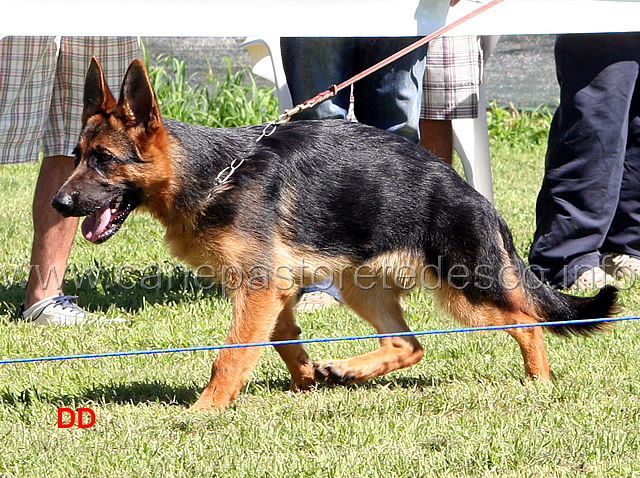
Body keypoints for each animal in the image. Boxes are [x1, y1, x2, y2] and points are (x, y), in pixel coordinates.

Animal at [52, 58, 616, 410]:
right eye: (77, 157)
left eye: (104, 160)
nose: (59, 204)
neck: (213, 174)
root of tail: (476, 200)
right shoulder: (272, 292)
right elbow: (282, 338)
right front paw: (304, 380)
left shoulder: (258, 289)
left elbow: (230, 354)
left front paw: (204, 410)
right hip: (358, 285)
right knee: (410, 343)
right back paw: (347, 370)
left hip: (465, 291)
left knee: (528, 323)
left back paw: (538, 384)